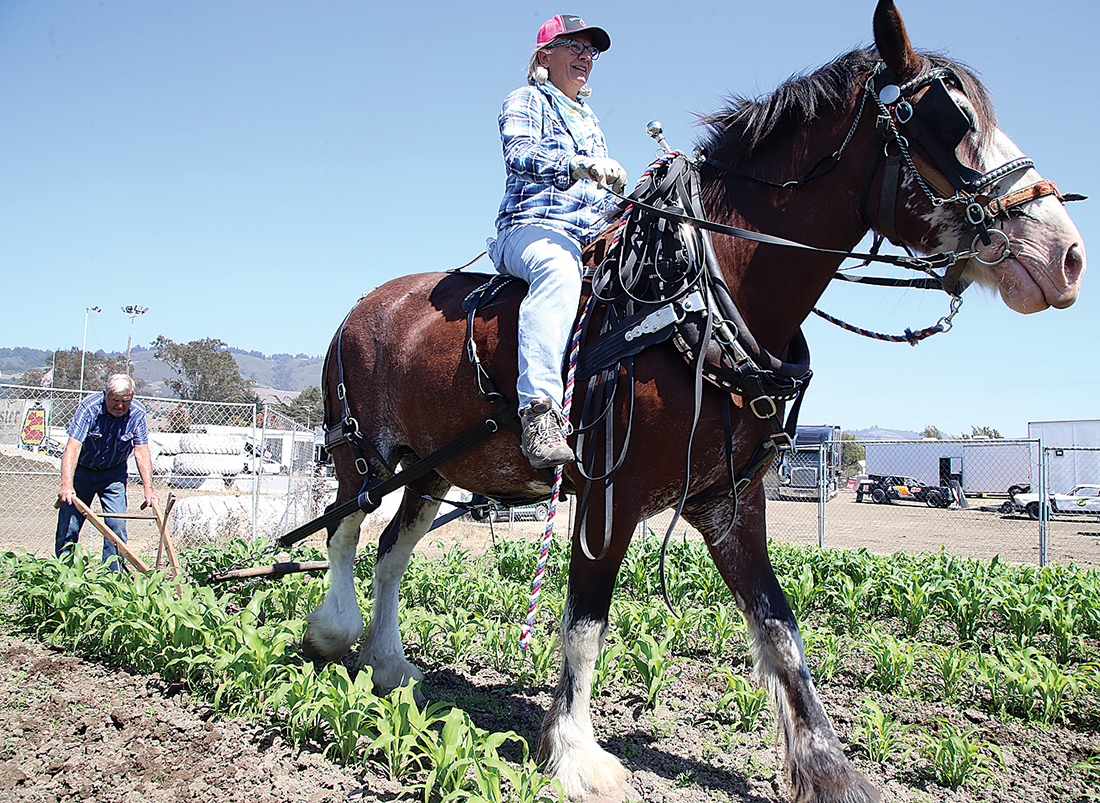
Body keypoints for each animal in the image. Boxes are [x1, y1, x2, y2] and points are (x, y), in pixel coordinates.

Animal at [301, 3, 1082, 796]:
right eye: (950, 118)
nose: (1068, 255)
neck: (699, 299)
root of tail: (364, 306)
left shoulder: (731, 501)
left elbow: (781, 631)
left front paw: (830, 770)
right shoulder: (608, 496)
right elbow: (585, 625)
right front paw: (576, 753)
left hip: (430, 469)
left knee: (392, 551)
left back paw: (389, 665)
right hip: (360, 454)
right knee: (343, 531)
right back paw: (333, 632)